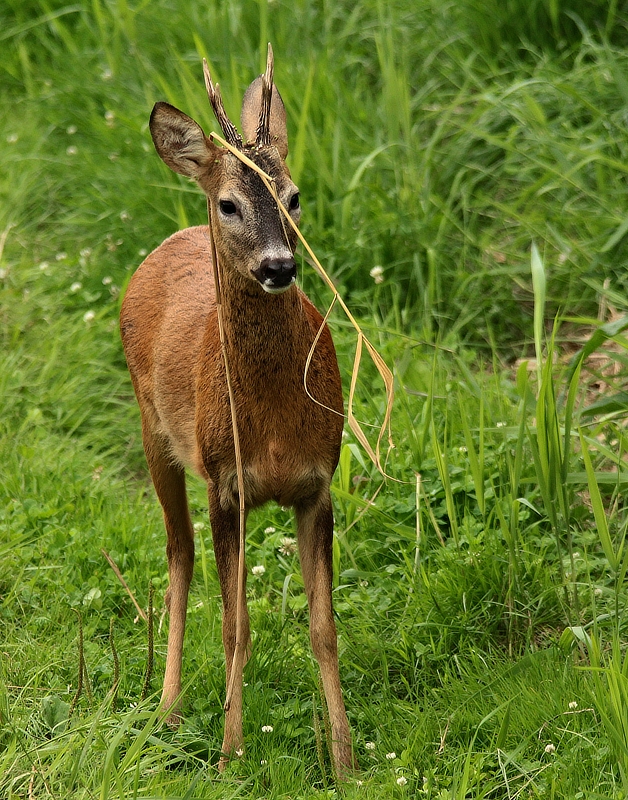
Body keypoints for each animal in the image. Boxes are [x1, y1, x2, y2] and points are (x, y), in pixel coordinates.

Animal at [116, 47, 354, 772]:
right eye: (230, 203)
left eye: (295, 196)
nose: (280, 266)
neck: (272, 426)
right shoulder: (226, 484)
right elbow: (234, 626)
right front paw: (229, 754)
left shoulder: (318, 483)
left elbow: (324, 628)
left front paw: (345, 760)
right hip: (155, 433)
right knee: (178, 556)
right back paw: (166, 711)